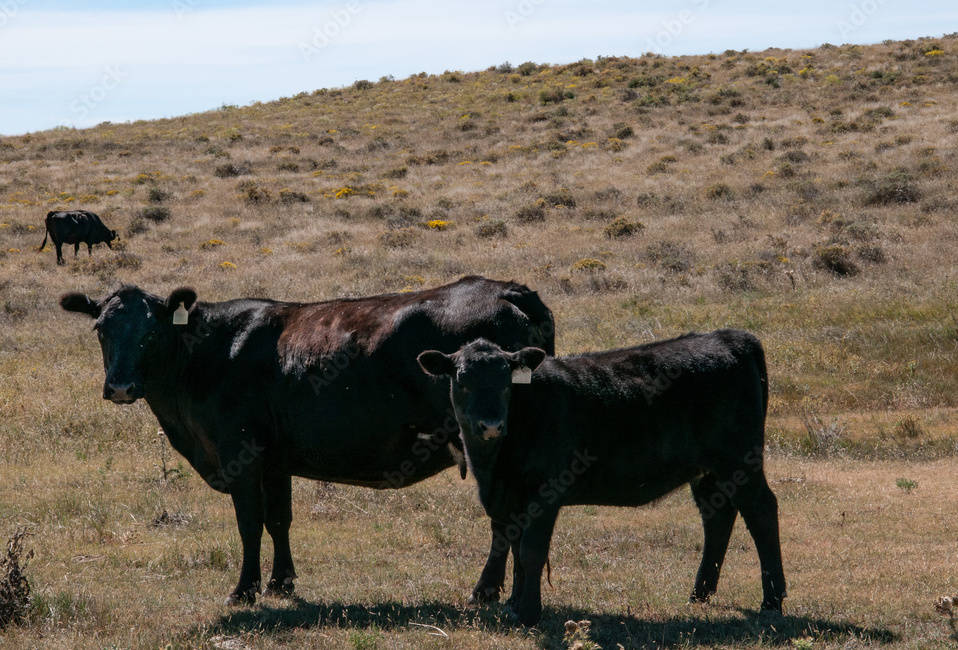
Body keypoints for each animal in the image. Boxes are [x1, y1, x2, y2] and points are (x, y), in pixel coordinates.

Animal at [60, 276, 556, 604]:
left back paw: (485, 591)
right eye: (101, 329)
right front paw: (281, 582)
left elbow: (248, 523)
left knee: (506, 521)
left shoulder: (239, 454)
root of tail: (508, 289)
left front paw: (244, 590)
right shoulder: (275, 460)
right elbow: (279, 520)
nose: (120, 386)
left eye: (151, 331)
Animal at [418, 330, 788, 624]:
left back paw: (772, 600)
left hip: (740, 460)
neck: (493, 467)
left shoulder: (545, 492)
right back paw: (700, 593)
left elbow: (531, 551)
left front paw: (528, 612)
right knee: (718, 517)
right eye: (462, 380)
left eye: (506, 383)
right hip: (709, 471)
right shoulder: (509, 497)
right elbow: (512, 547)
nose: (491, 425)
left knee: (762, 512)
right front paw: (513, 604)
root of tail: (730, 336)